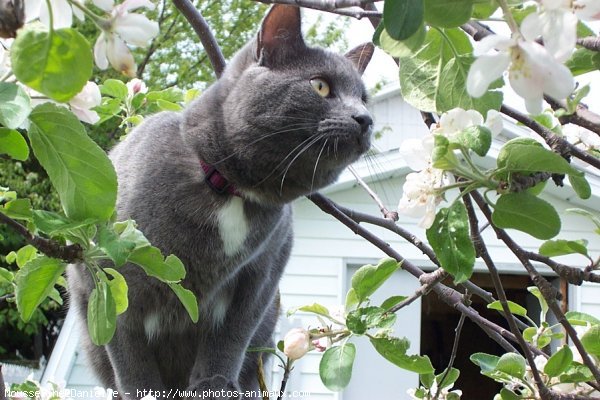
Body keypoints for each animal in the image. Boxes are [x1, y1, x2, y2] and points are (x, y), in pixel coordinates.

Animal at [68, 3, 372, 400]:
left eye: (363, 98)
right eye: (320, 86)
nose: (365, 118)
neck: (231, 191)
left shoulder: (261, 276)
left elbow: (230, 335)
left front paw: (215, 384)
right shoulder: (113, 272)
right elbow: (128, 351)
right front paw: (143, 390)